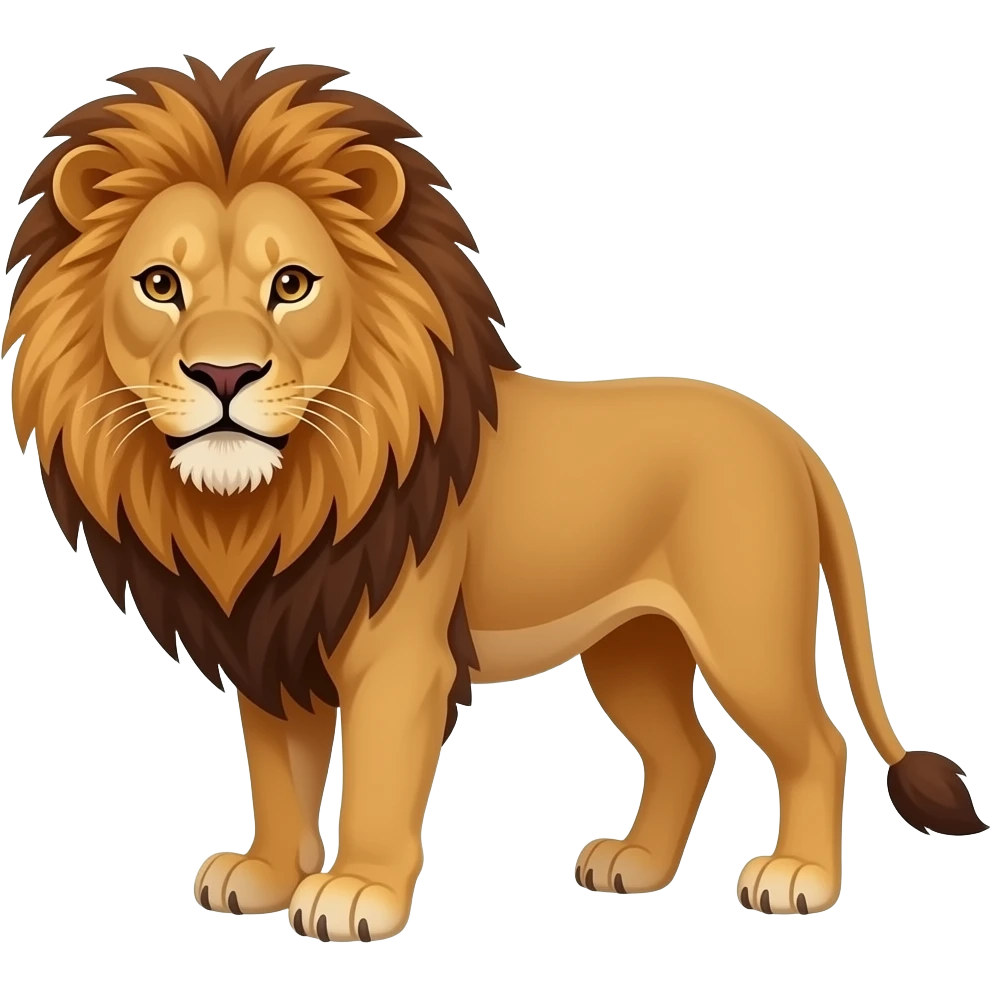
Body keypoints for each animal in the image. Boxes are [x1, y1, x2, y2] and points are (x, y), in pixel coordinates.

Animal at [4, 49, 985, 941]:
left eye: (291, 284)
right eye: (159, 285)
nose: (223, 373)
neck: (273, 499)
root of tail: (792, 440)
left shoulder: (398, 653)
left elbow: (376, 780)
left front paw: (355, 892)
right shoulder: (274, 638)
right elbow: (278, 775)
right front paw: (266, 875)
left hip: (746, 629)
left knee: (816, 743)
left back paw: (798, 878)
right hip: (633, 645)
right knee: (688, 748)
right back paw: (633, 865)